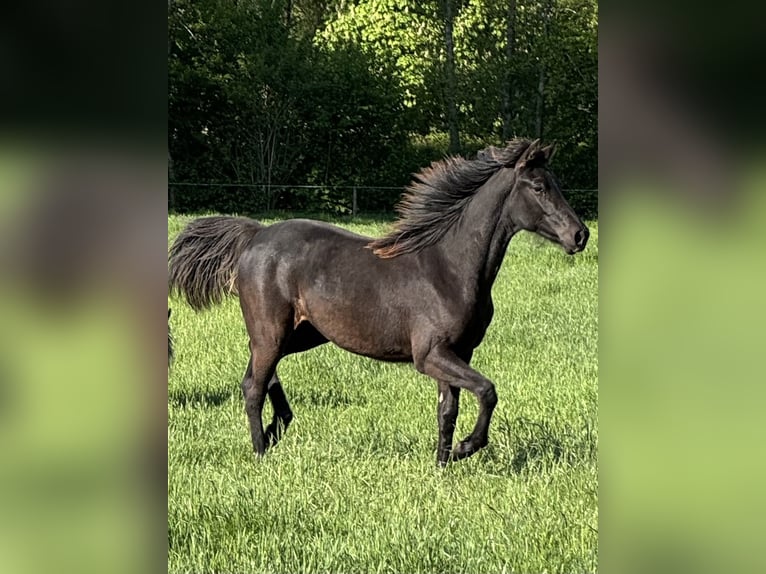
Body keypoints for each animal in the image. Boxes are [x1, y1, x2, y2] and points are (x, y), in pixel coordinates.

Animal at [168, 138, 589, 466]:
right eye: (538, 187)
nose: (580, 235)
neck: (449, 268)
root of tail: (255, 235)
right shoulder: (431, 354)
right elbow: (487, 391)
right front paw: (465, 448)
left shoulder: (458, 353)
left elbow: (447, 411)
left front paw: (443, 464)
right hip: (271, 332)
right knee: (252, 385)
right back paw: (260, 451)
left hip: (300, 335)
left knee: (263, 374)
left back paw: (277, 428)